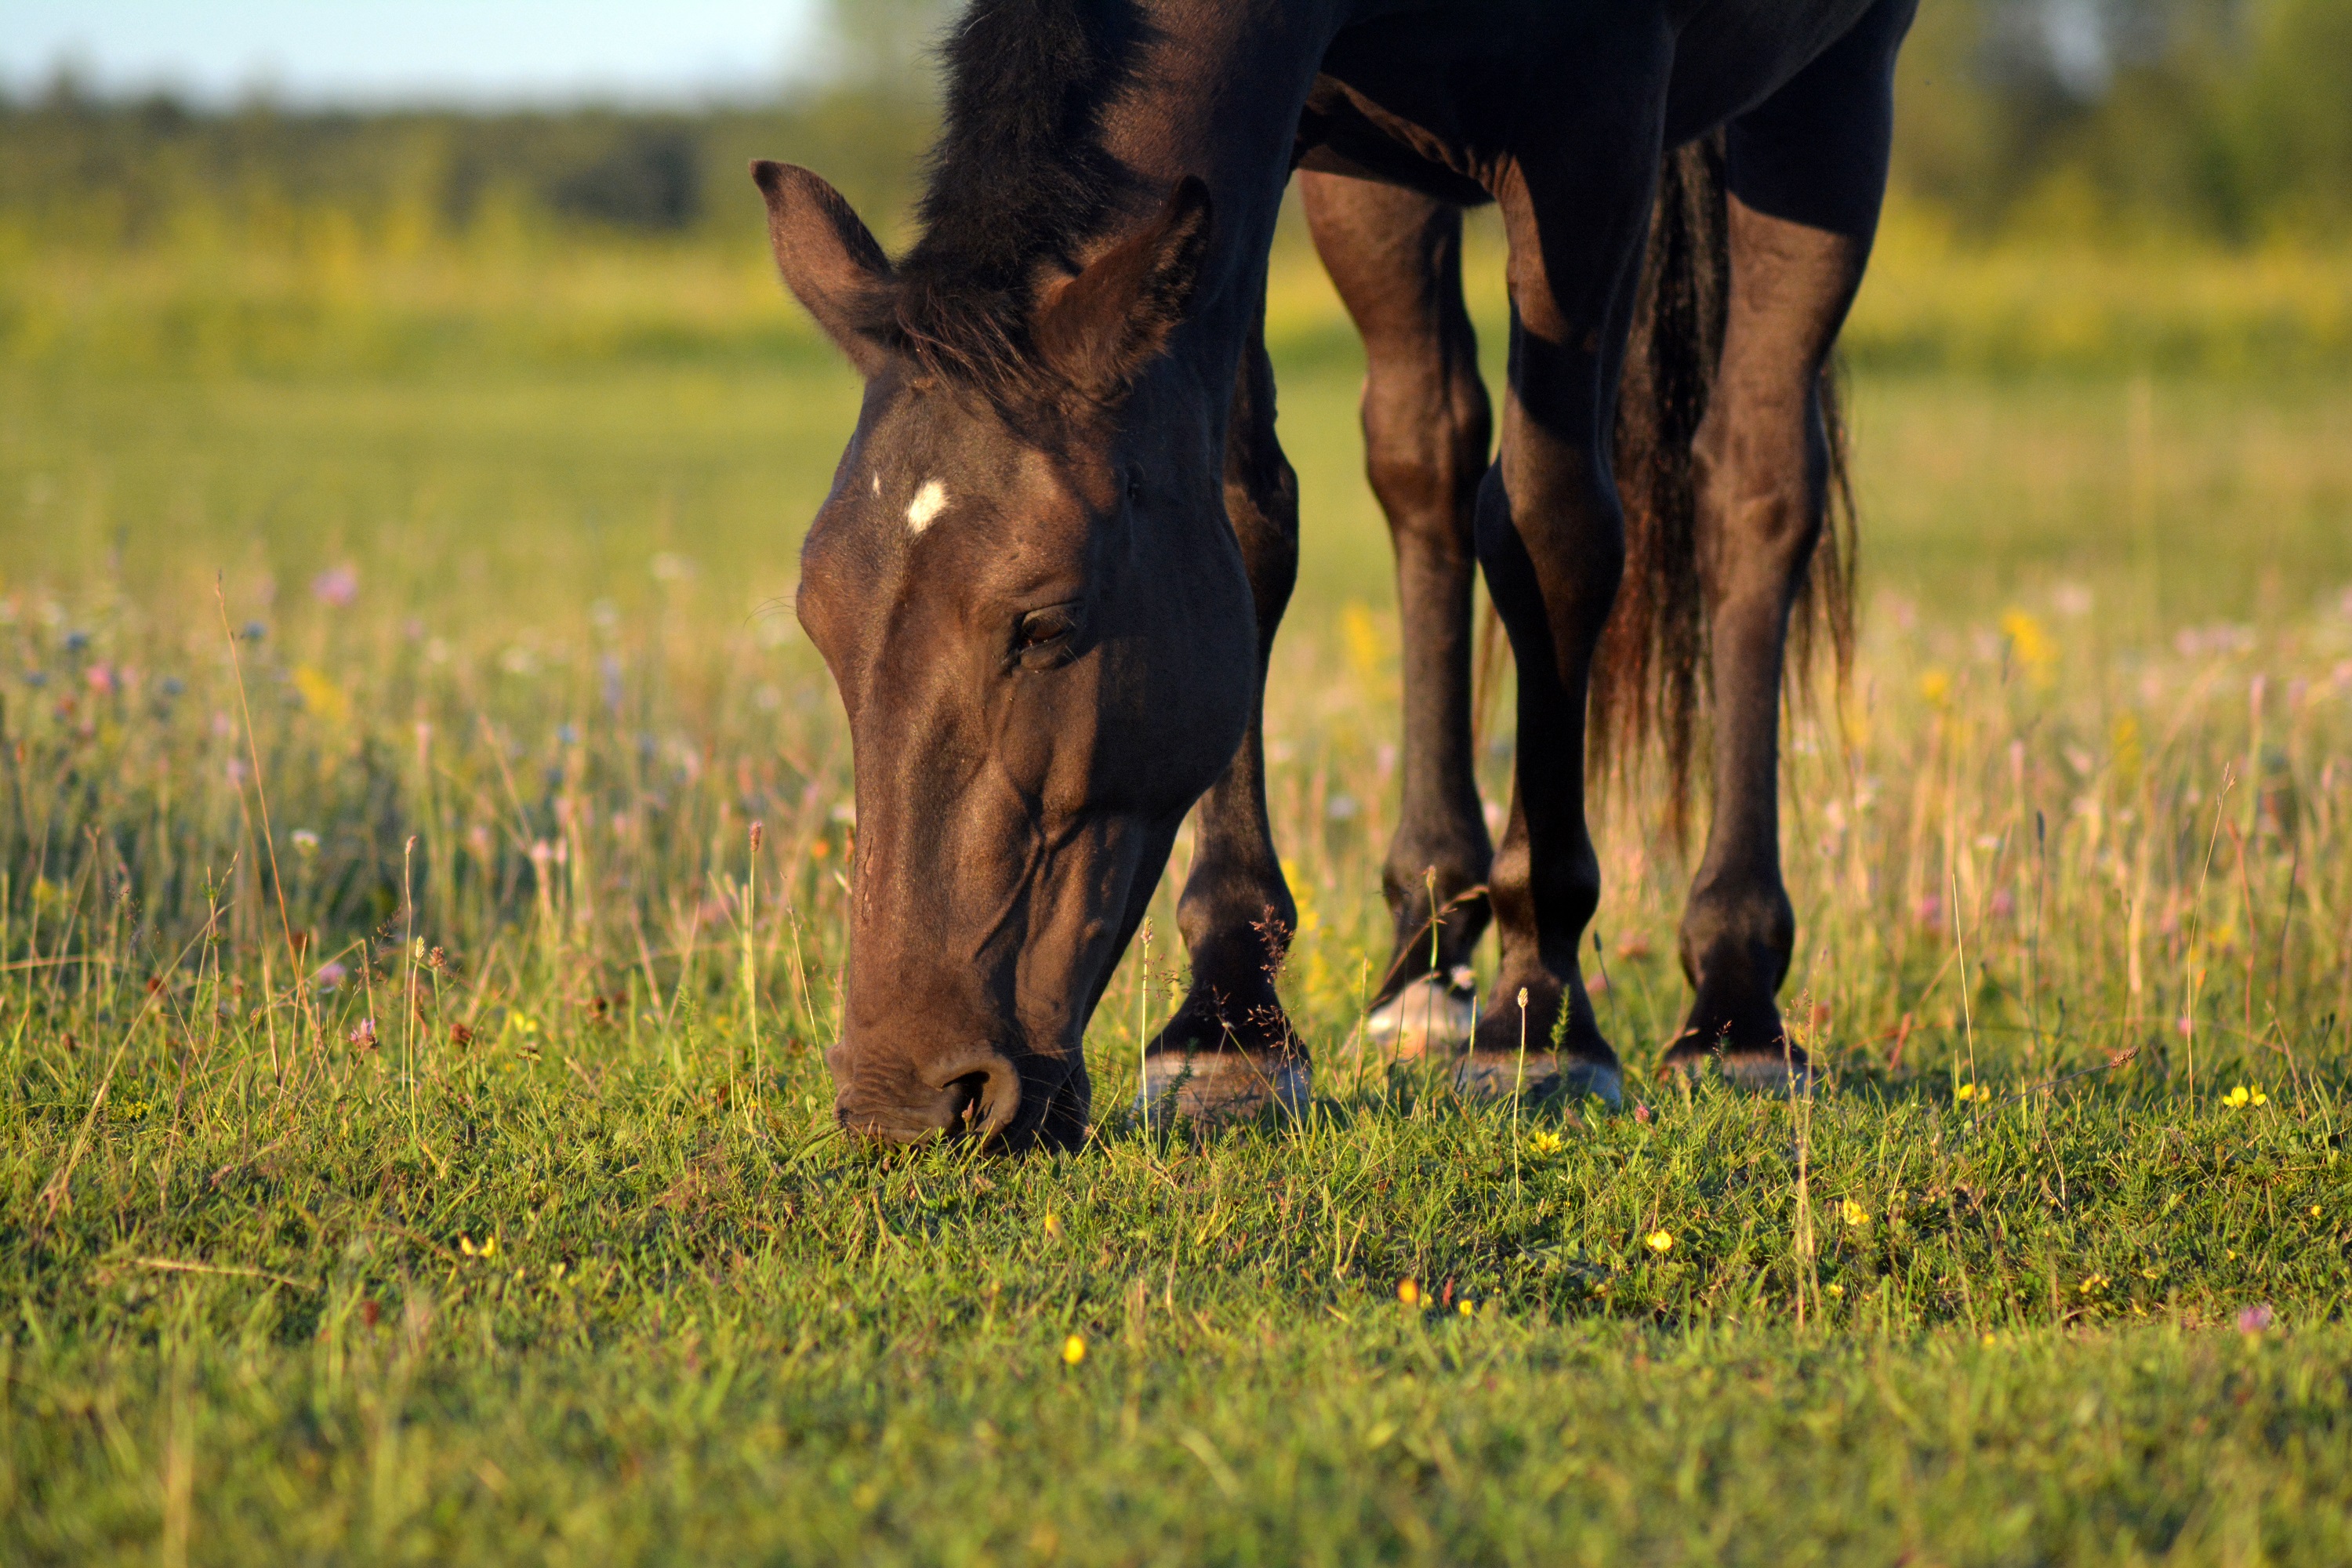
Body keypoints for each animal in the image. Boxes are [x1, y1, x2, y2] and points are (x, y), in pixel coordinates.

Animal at [762, 2, 1919, 1152]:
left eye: (1046, 623)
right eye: (820, 619)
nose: (909, 1101)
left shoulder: (1596, 130)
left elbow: (1552, 530)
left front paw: (1541, 1015)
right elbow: (1247, 518)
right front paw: (1229, 1018)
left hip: (1830, 94)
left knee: (1753, 496)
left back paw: (1735, 1009)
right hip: (1381, 190)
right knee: (1429, 459)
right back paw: (1429, 950)